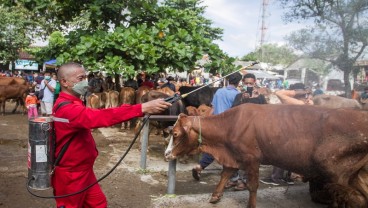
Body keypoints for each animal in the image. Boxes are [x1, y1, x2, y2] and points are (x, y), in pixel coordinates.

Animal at [165, 104, 368, 208]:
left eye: (175, 134)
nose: (167, 154)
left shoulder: (251, 158)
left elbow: (252, 186)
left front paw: (251, 205)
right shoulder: (235, 155)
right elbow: (225, 174)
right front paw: (215, 196)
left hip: (335, 171)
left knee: (350, 197)